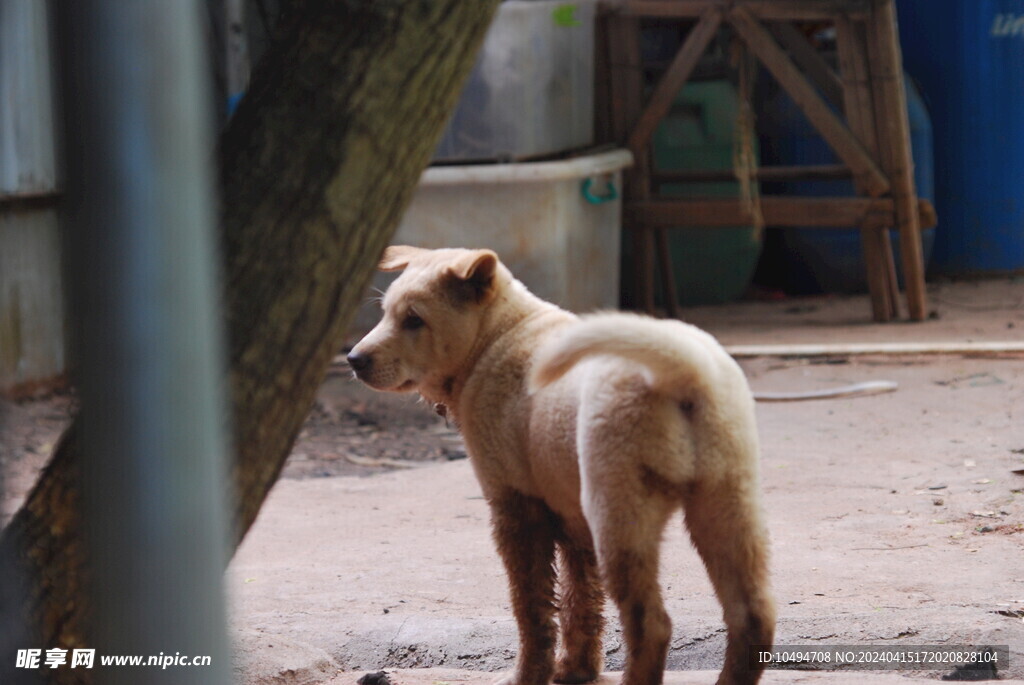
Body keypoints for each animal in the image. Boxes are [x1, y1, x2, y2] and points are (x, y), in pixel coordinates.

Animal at [348, 245, 770, 683]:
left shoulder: (515, 504)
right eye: (385, 313)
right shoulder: (571, 518)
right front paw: (575, 670)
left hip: (621, 508)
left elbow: (531, 605)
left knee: (651, 624)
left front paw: (528, 675)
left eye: (414, 319)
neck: (495, 338)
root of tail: (683, 371)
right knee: (751, 615)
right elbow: (580, 598)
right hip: (728, 500)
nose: (354, 359)